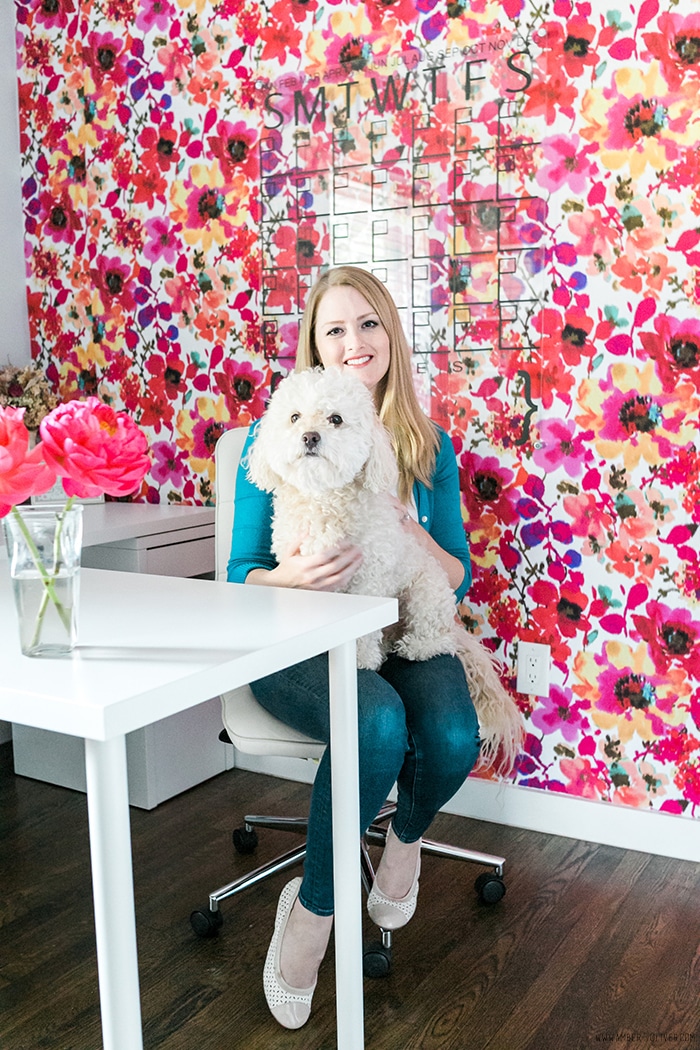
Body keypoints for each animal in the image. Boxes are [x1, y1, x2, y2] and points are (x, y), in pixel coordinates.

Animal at [248, 367, 522, 772]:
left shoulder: (369, 579)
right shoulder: (299, 572)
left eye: (336, 419)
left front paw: (360, 659)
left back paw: (413, 646)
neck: (325, 499)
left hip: (426, 593)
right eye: (294, 417)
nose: (310, 436)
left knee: (434, 638)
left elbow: (362, 632)